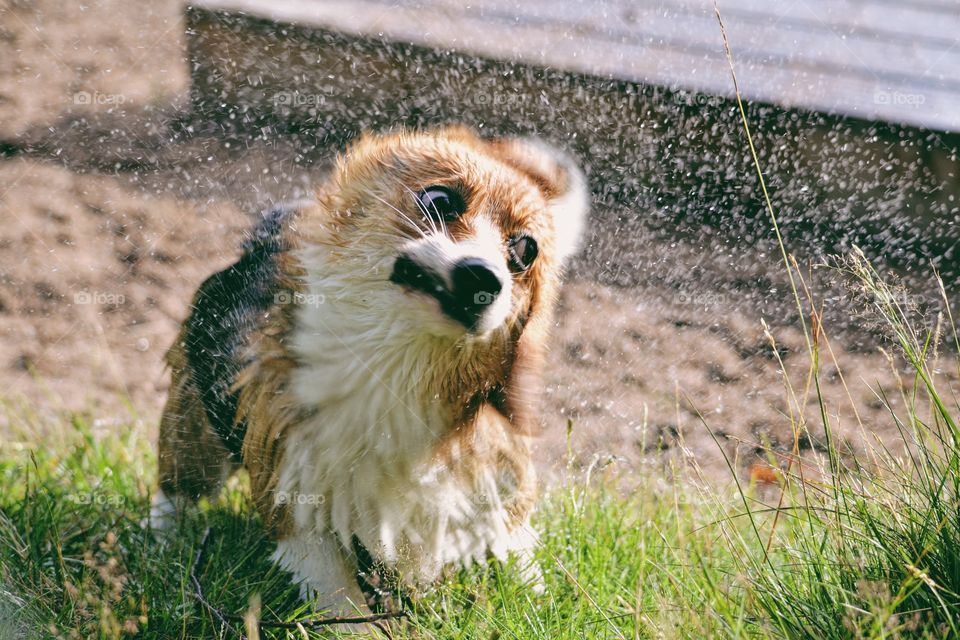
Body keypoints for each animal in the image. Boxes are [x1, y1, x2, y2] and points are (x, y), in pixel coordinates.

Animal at [153, 126, 588, 616]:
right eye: (439, 200)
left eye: (525, 250)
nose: (483, 277)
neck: (399, 364)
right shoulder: (296, 503)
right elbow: (342, 601)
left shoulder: (494, 472)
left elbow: (517, 545)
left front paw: (543, 602)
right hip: (196, 429)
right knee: (177, 486)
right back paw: (163, 540)